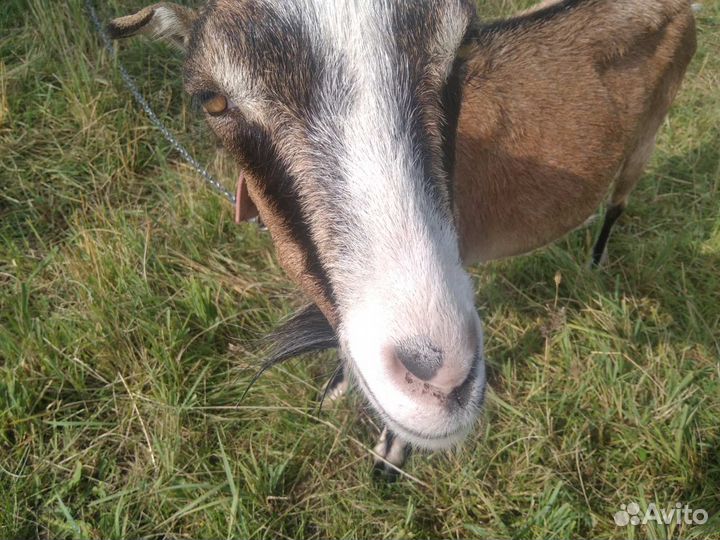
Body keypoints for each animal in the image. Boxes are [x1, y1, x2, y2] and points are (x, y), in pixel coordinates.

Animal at [108, 0, 696, 476]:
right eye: (212, 100)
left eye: (461, 48)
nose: (441, 378)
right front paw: (337, 387)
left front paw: (390, 456)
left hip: (648, 138)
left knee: (619, 203)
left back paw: (595, 260)